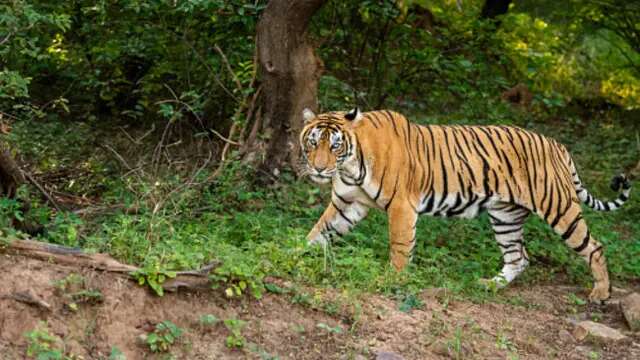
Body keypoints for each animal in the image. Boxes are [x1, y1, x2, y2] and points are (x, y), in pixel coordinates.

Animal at [298, 107, 632, 304]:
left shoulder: (402, 207)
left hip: (559, 208)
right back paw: (490, 285)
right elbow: (318, 232)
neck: (349, 166)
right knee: (519, 257)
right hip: (505, 216)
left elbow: (399, 247)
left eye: (335, 145)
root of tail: (557, 145)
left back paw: (601, 293)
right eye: (313, 142)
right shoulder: (348, 203)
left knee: (595, 247)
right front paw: (294, 255)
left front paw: (392, 279)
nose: (318, 169)